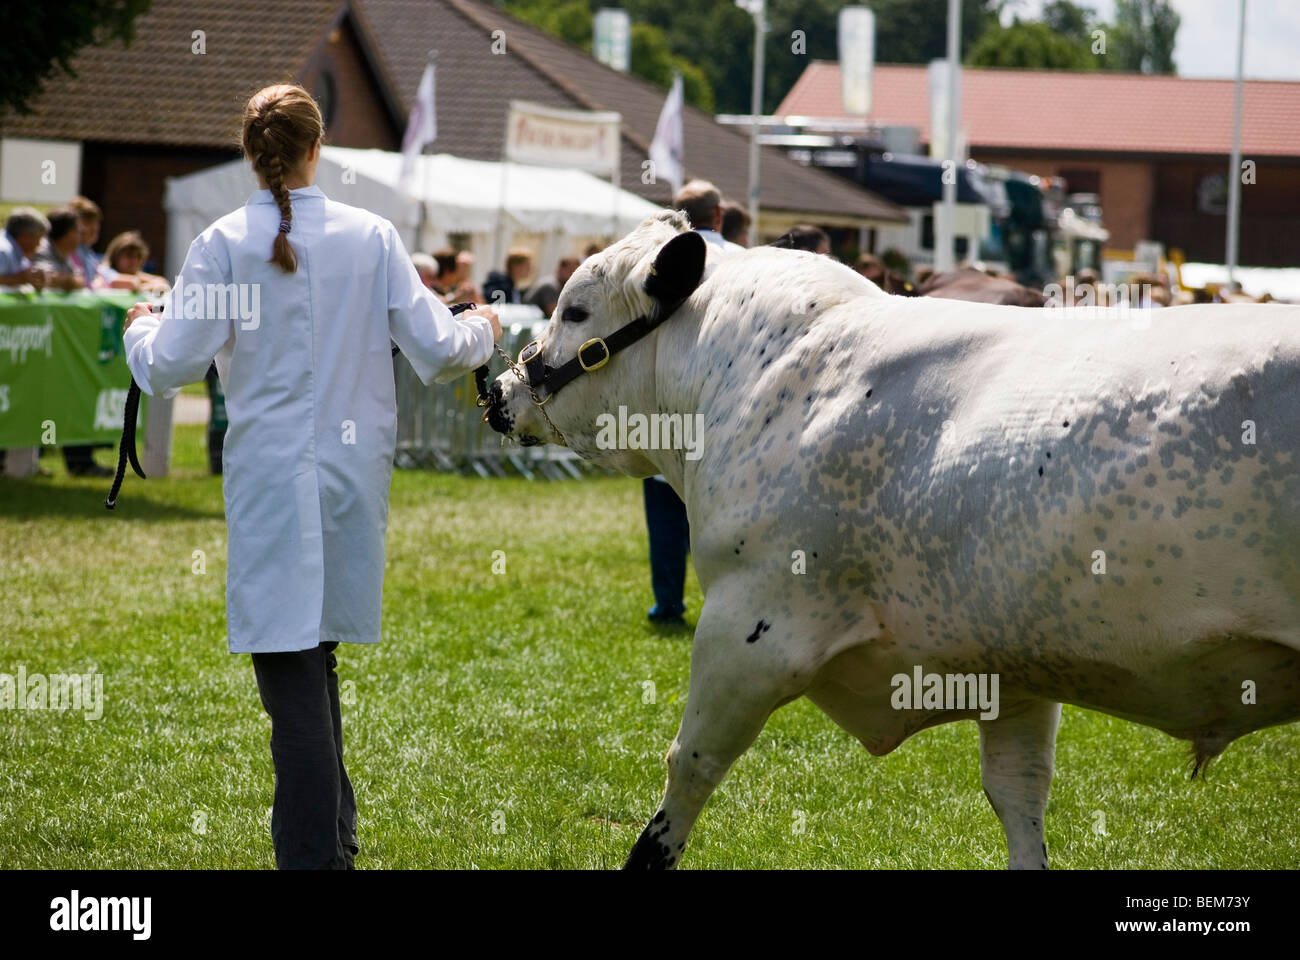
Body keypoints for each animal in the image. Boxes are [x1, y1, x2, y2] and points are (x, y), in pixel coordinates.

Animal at [486, 210, 1300, 868]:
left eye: (575, 308)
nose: (498, 390)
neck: (765, 380)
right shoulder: (1017, 670)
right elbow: (1019, 799)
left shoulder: (751, 625)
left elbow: (687, 772)